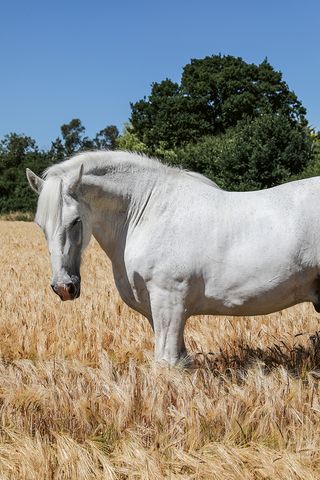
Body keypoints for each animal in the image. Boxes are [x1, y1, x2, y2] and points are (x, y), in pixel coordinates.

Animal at [25, 152, 320, 366]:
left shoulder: (169, 301)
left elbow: (166, 363)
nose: (63, 287)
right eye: (40, 224)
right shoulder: (156, 310)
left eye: (75, 221)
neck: (146, 212)